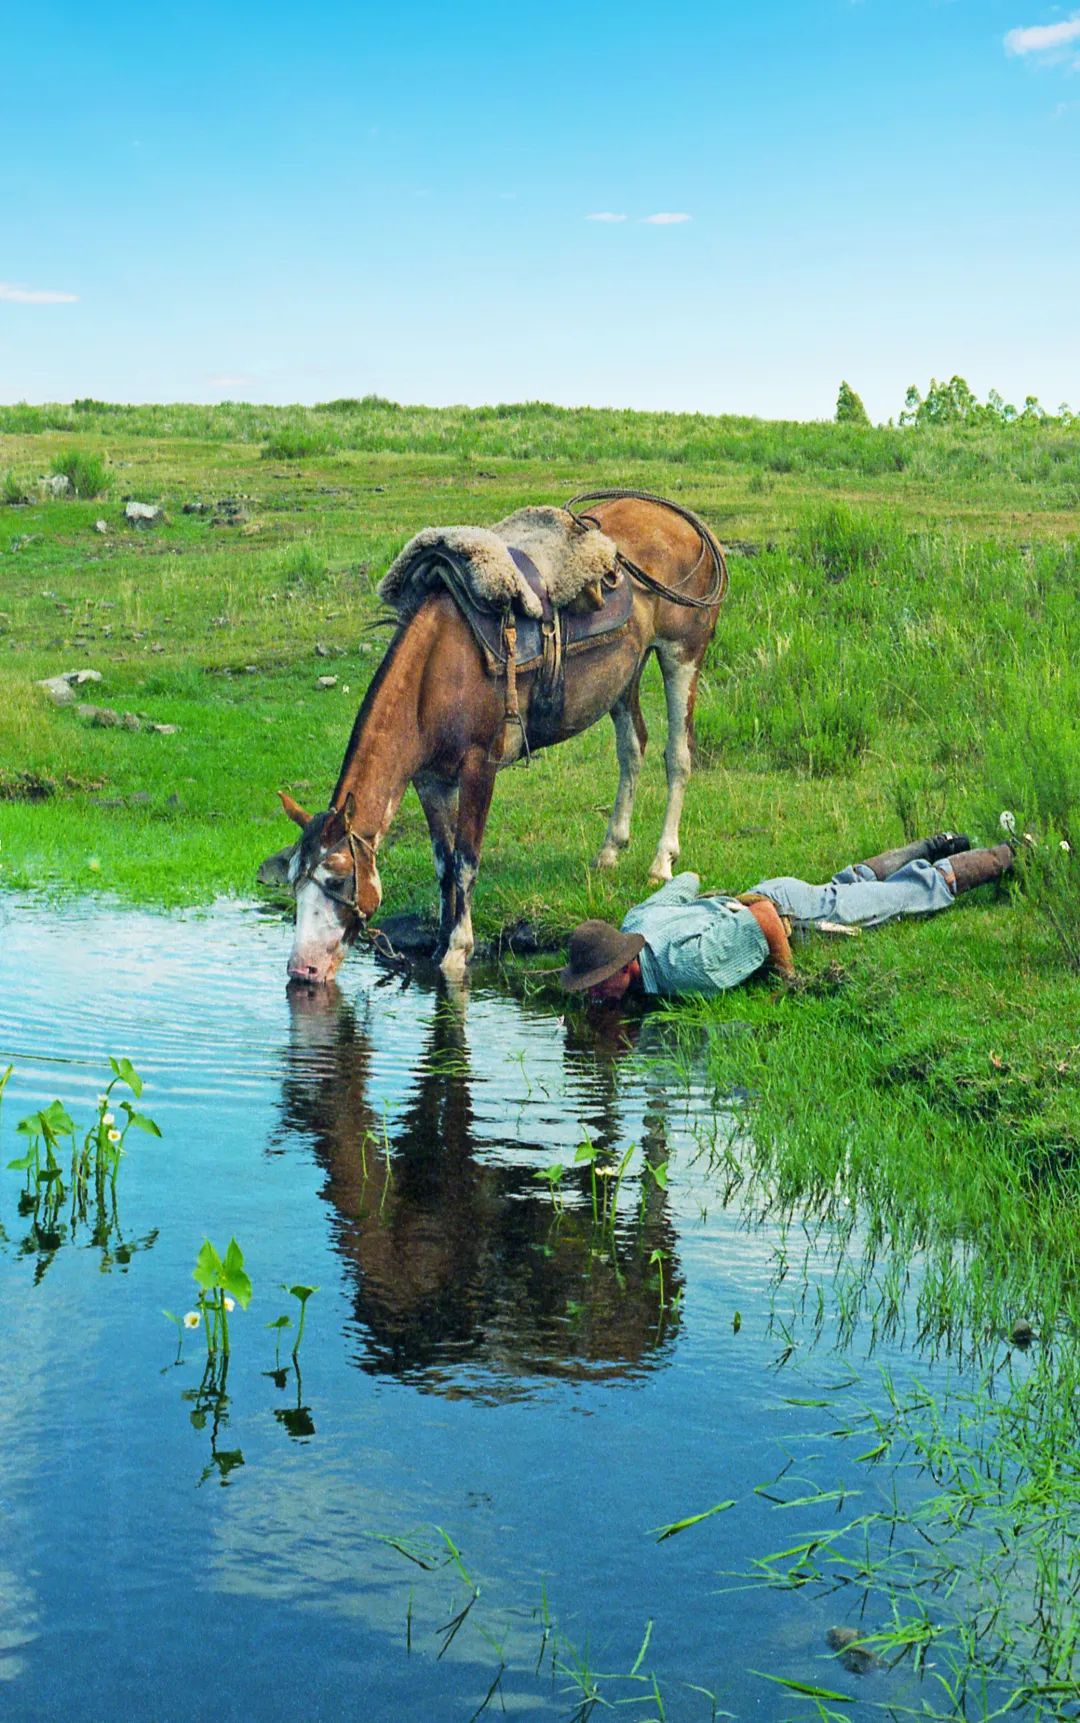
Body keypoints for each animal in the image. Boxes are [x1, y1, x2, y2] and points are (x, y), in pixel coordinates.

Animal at [266, 492, 730, 992]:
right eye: (293, 881)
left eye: (336, 880)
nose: (303, 969)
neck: (437, 674)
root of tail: (680, 520)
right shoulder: (429, 780)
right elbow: (444, 862)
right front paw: (439, 942)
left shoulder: (479, 767)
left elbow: (467, 860)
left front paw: (457, 953)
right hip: (626, 675)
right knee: (632, 748)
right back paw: (609, 851)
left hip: (682, 654)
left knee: (677, 756)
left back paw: (661, 861)